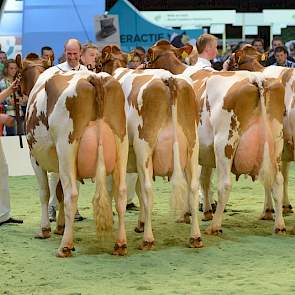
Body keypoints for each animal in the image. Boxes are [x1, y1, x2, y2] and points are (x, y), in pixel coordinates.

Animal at [26, 69, 130, 256]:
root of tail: (94, 77)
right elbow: (58, 192)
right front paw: (60, 227)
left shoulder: (35, 158)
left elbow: (45, 192)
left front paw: (45, 229)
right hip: (122, 143)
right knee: (121, 194)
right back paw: (120, 244)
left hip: (66, 147)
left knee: (72, 195)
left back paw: (65, 246)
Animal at [147, 40, 288, 236]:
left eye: (147, 57)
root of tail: (256, 79)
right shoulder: (205, 152)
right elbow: (204, 180)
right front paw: (205, 211)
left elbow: (190, 181)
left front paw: (185, 214)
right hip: (276, 143)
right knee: (277, 181)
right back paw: (279, 224)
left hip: (225, 143)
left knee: (225, 184)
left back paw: (215, 226)